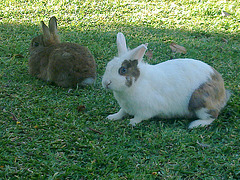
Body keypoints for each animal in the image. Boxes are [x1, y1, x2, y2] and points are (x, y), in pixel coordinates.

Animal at [101, 32, 231, 128]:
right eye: (108, 65)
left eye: (122, 70)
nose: (106, 83)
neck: (136, 83)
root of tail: (222, 92)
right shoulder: (125, 107)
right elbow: (121, 112)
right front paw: (112, 117)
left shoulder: (146, 109)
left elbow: (140, 117)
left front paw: (132, 122)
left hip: (200, 102)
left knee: (212, 117)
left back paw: (195, 124)